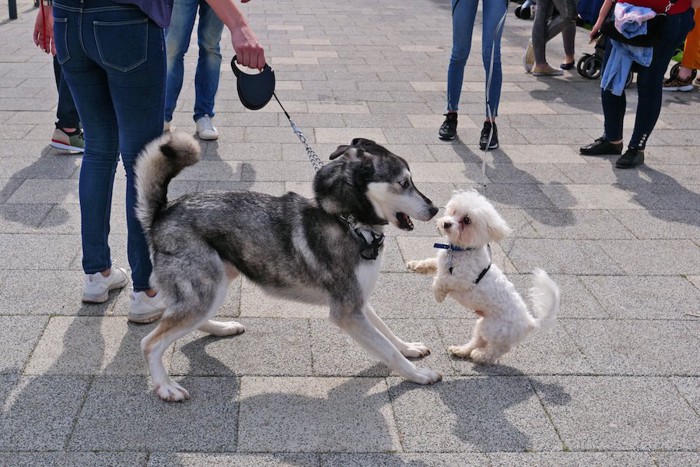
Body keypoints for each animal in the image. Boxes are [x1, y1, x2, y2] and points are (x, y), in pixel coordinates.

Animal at [135, 133, 442, 402]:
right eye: (403, 183)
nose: (436, 209)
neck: (348, 221)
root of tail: (162, 213)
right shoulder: (347, 312)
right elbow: (387, 351)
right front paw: (418, 375)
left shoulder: (358, 300)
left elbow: (386, 331)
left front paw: (408, 348)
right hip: (205, 287)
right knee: (150, 343)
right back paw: (165, 387)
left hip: (217, 282)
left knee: (190, 317)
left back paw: (221, 328)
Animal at [404, 191, 556, 366]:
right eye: (454, 211)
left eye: (467, 221)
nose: (447, 224)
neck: (461, 250)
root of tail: (530, 321)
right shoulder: (442, 264)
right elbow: (432, 264)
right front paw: (416, 265)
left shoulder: (463, 279)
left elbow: (442, 280)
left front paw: (438, 294)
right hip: (483, 324)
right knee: (477, 341)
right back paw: (461, 350)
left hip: (494, 329)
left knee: (498, 349)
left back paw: (481, 356)